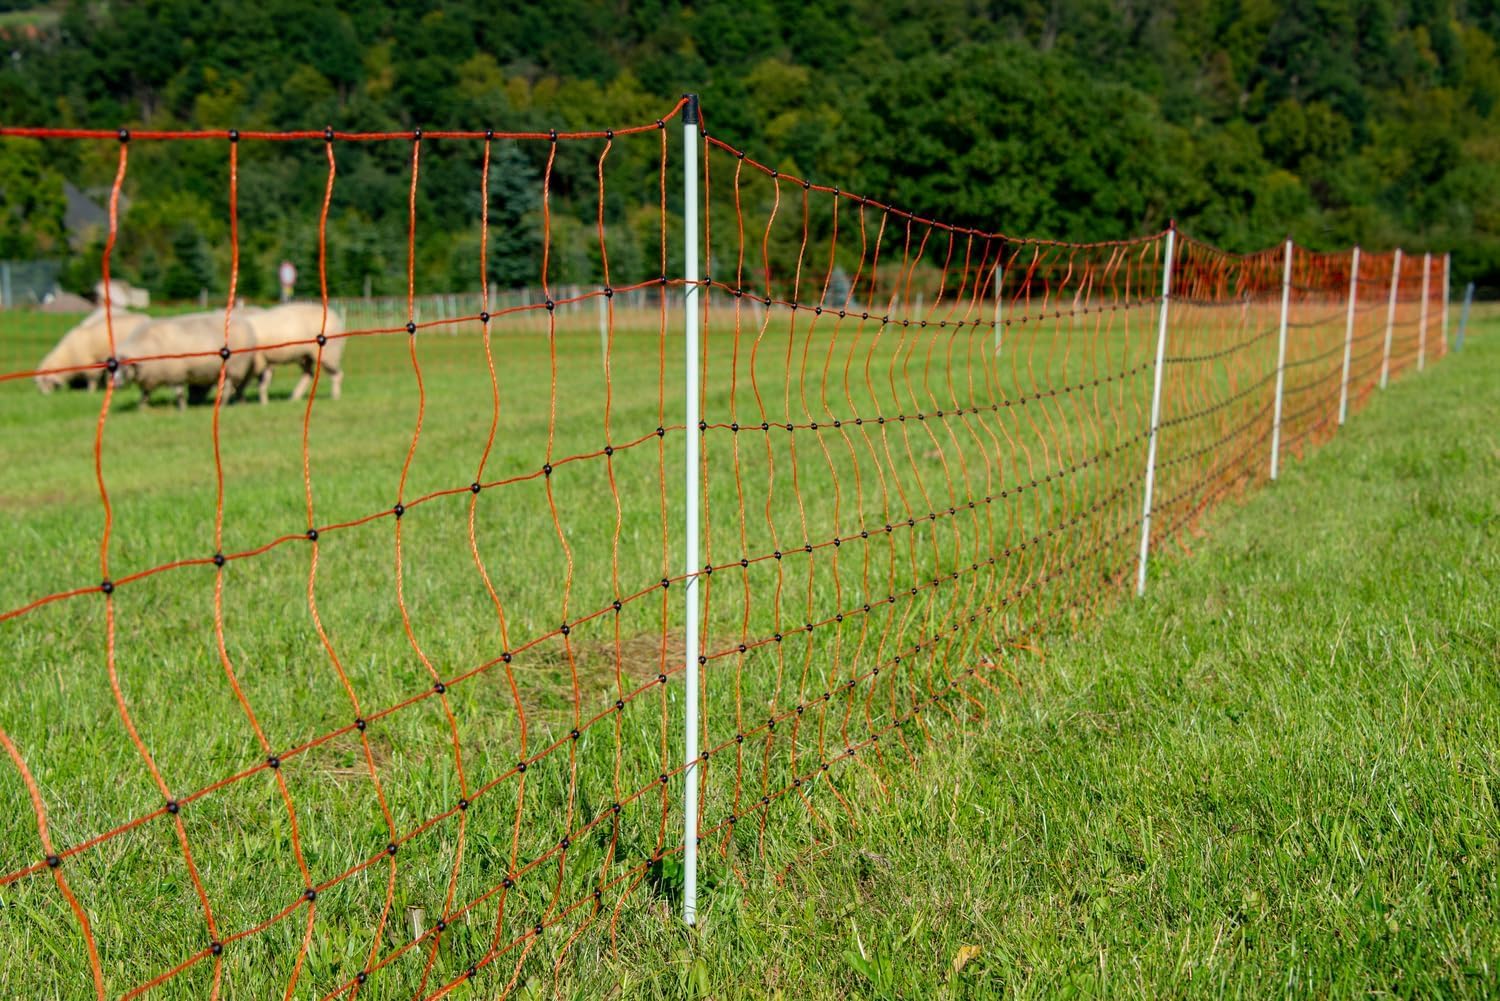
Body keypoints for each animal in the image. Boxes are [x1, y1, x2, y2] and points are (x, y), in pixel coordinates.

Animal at [112, 312, 259, 410]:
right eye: (113, 368)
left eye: (125, 368)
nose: (115, 384)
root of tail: (245, 322)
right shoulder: (151, 376)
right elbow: (144, 394)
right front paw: (142, 408)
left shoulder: (176, 373)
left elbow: (179, 392)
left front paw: (182, 408)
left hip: (234, 368)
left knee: (228, 388)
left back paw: (222, 404)